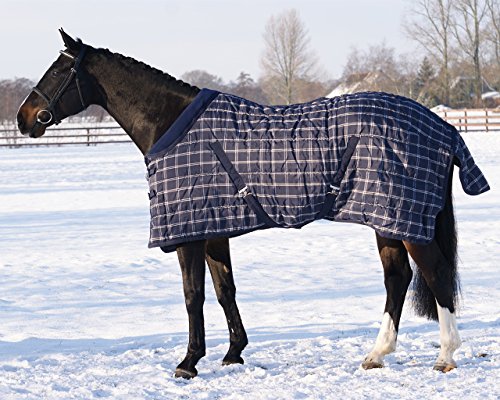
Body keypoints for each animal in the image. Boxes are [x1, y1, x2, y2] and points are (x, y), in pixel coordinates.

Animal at [17, 30, 490, 378]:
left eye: (59, 70)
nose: (24, 118)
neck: (171, 124)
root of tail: (442, 127)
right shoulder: (214, 229)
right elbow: (224, 290)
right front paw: (233, 354)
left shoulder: (190, 233)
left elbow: (193, 295)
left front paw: (189, 363)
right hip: (386, 218)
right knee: (398, 279)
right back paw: (377, 354)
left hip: (405, 220)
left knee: (436, 275)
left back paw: (445, 356)